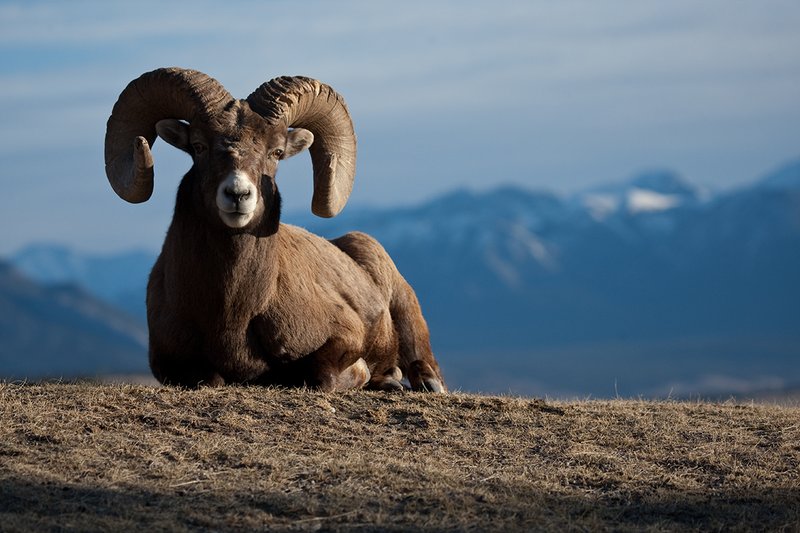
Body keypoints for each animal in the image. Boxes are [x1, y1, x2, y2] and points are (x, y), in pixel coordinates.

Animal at [104, 67, 446, 393]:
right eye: (198, 146)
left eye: (277, 152)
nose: (238, 194)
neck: (233, 313)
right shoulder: (168, 362)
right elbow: (209, 379)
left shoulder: (347, 334)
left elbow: (321, 376)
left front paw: (363, 375)